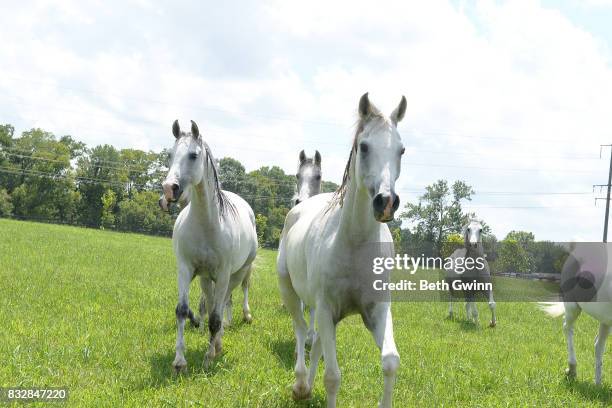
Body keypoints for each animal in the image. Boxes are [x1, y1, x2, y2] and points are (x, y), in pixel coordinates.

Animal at [161, 119, 256, 372]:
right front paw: (179, 361)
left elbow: (215, 317)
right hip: (205, 278)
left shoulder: (222, 274)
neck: (206, 225)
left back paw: (218, 344)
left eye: (193, 155)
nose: (169, 189)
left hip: (236, 274)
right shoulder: (185, 269)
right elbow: (182, 310)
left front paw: (208, 358)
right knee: (213, 302)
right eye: (170, 154)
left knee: (224, 304)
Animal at [278, 93, 406, 408]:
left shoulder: (377, 311)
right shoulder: (325, 309)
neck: (355, 243)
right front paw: (310, 385)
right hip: (291, 292)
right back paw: (300, 384)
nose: (386, 202)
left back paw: (307, 386)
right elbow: (333, 377)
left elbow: (390, 361)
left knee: (316, 343)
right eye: (364, 146)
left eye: (401, 150)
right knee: (302, 330)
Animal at [540, 242, 612, 386]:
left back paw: (598, 384)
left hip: (605, 321)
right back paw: (572, 369)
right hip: (572, 307)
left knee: (598, 346)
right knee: (567, 327)